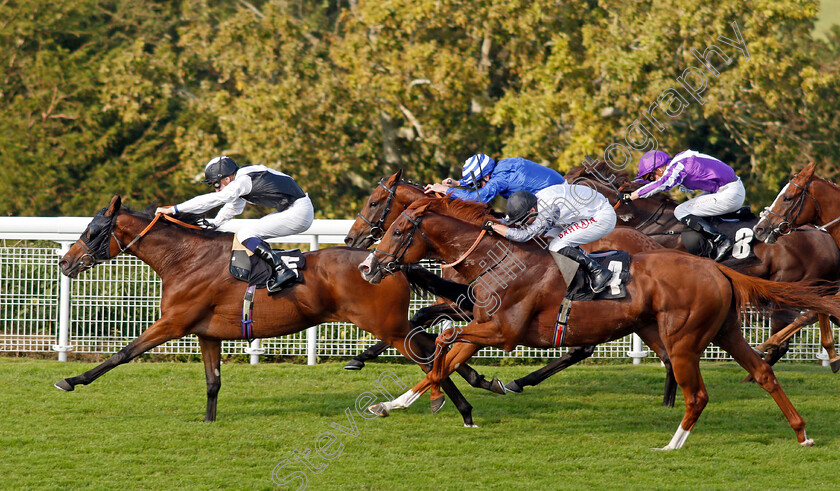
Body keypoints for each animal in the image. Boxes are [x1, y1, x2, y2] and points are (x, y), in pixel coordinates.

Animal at [55, 194, 480, 424]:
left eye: (92, 231)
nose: (65, 262)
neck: (185, 258)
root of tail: (388, 263)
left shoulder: (173, 323)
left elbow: (123, 353)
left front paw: (72, 380)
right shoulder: (206, 332)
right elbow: (212, 382)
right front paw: (208, 421)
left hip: (385, 325)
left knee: (428, 353)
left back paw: (459, 406)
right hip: (391, 325)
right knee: (434, 346)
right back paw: (467, 389)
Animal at [344, 171, 680, 406]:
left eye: (374, 203)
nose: (351, 239)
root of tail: (649, 242)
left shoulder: (467, 307)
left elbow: (423, 322)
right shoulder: (468, 308)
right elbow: (425, 323)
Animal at [358, 199, 840, 450]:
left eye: (398, 230)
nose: (367, 265)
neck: (499, 260)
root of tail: (717, 267)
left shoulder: (502, 332)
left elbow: (442, 341)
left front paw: (443, 398)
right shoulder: (483, 327)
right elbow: (444, 354)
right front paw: (395, 404)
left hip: (683, 338)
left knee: (698, 393)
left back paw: (673, 443)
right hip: (723, 331)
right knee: (762, 373)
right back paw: (802, 434)